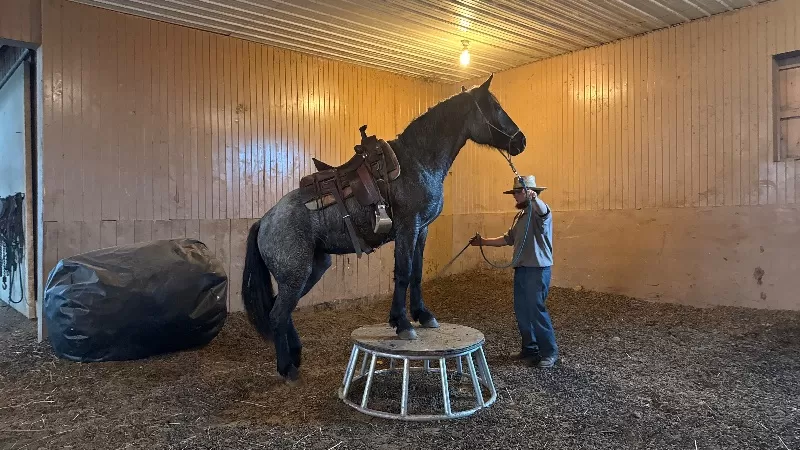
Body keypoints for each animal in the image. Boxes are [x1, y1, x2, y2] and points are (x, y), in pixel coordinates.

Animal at [241, 75, 528, 382]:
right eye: (494, 106)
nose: (521, 141)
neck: (417, 161)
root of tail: (265, 221)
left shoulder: (421, 230)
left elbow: (416, 273)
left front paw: (423, 315)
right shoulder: (407, 228)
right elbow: (402, 273)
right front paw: (402, 323)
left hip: (312, 269)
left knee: (283, 311)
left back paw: (295, 355)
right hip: (296, 274)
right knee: (277, 314)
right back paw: (287, 368)